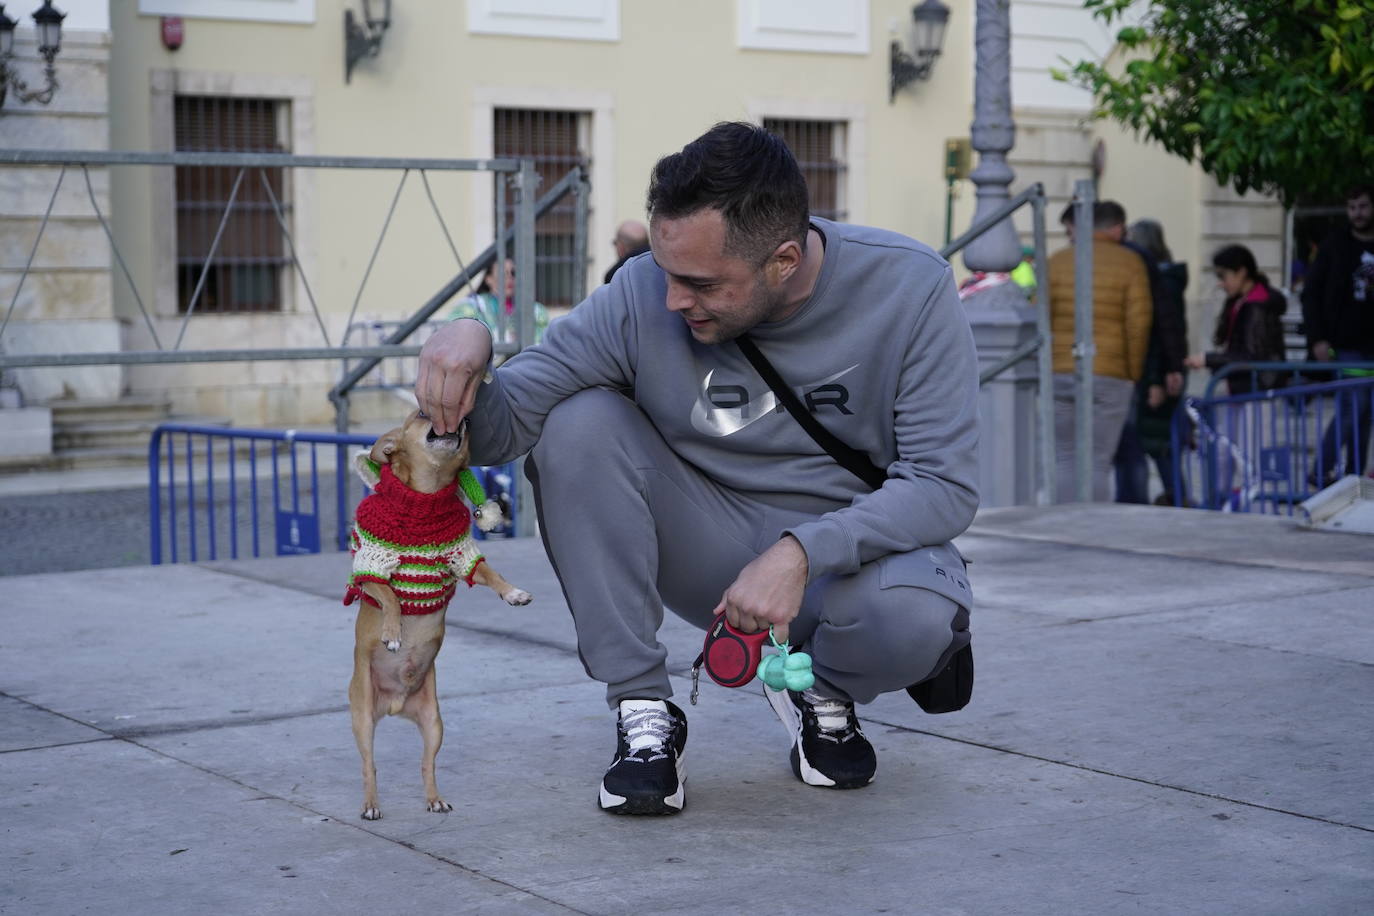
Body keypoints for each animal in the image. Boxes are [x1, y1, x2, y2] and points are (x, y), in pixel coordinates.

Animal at [343, 411, 530, 818]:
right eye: (419, 414)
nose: (460, 418)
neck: (427, 495)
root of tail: (395, 705)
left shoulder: (462, 555)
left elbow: (490, 573)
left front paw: (513, 593)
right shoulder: (371, 567)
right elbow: (390, 596)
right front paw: (393, 633)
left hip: (433, 723)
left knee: (426, 764)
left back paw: (434, 799)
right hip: (362, 718)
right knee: (368, 765)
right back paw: (371, 804)